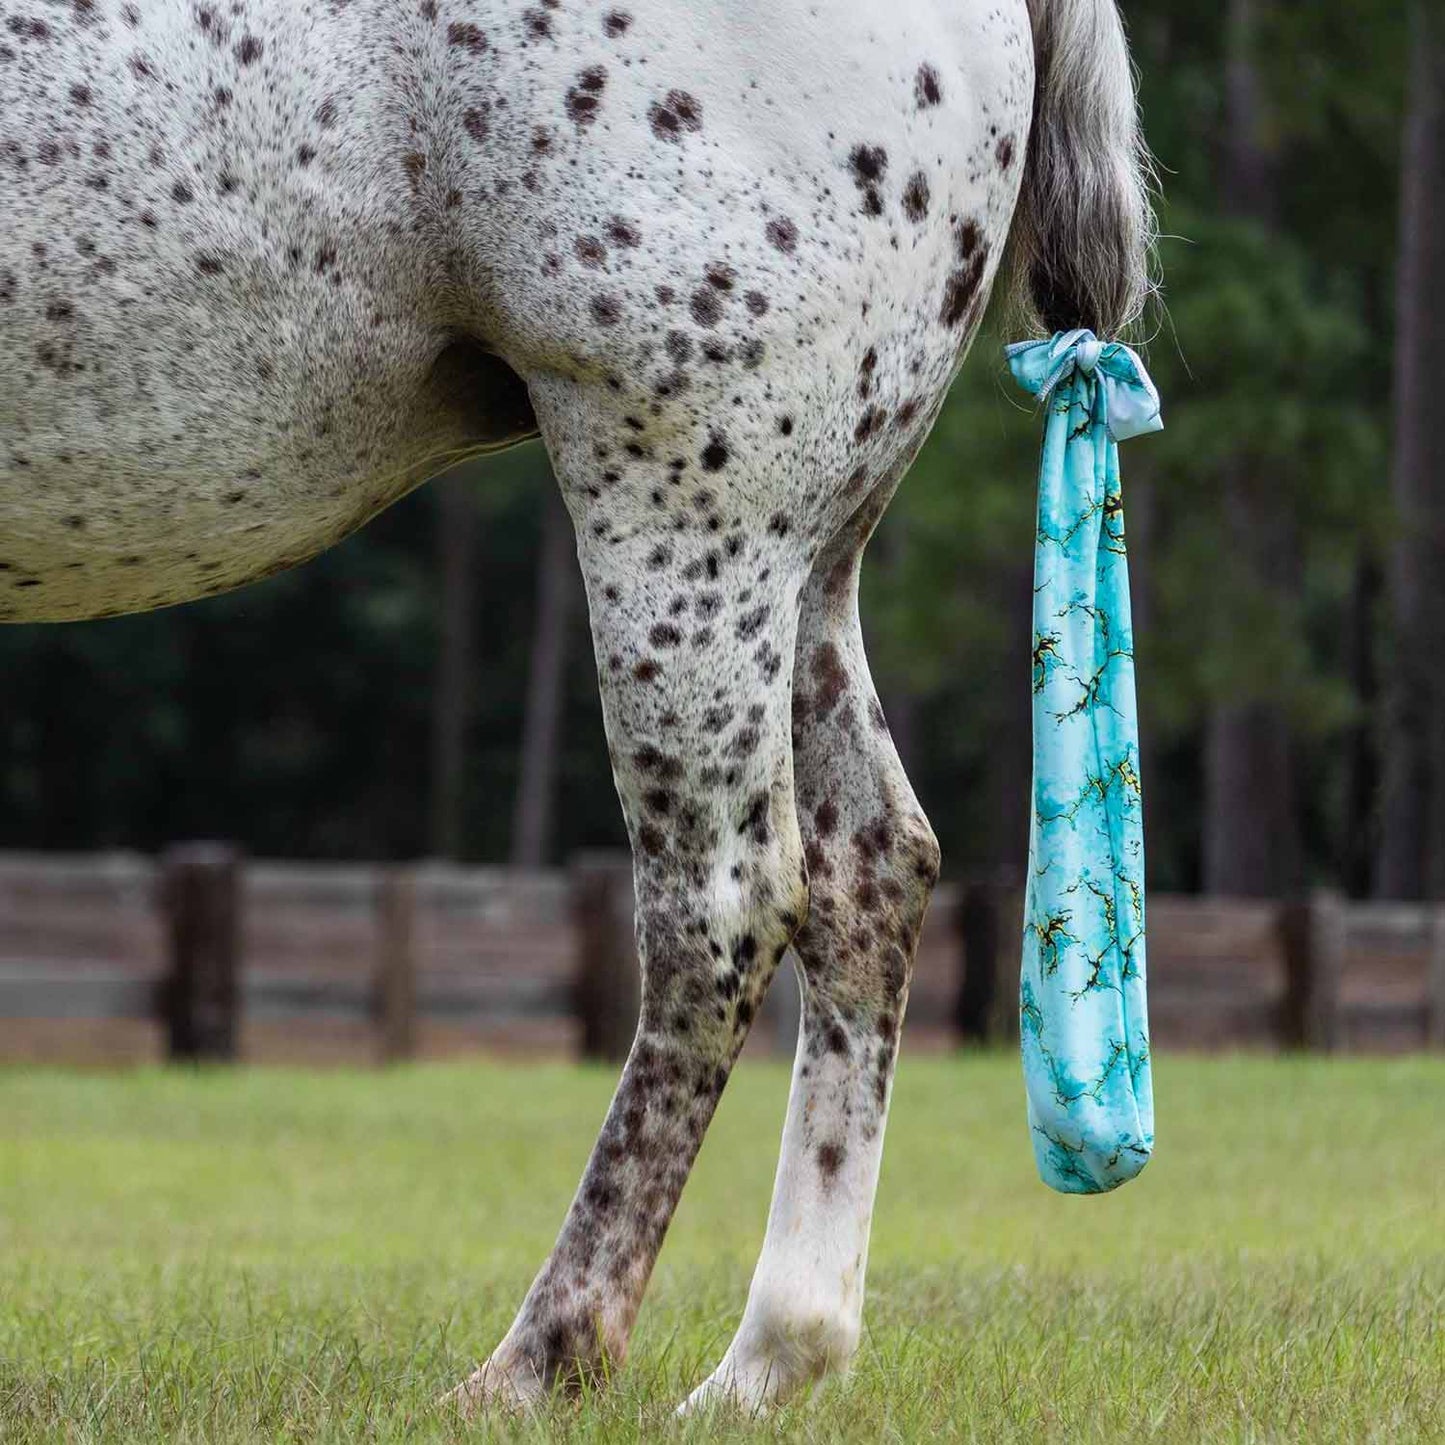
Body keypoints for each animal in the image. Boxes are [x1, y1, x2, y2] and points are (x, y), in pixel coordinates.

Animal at [0, 0, 1151, 1411]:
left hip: (684, 508)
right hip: (807, 554)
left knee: (722, 907)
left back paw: (541, 1355)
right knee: (872, 868)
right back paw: (766, 1360)